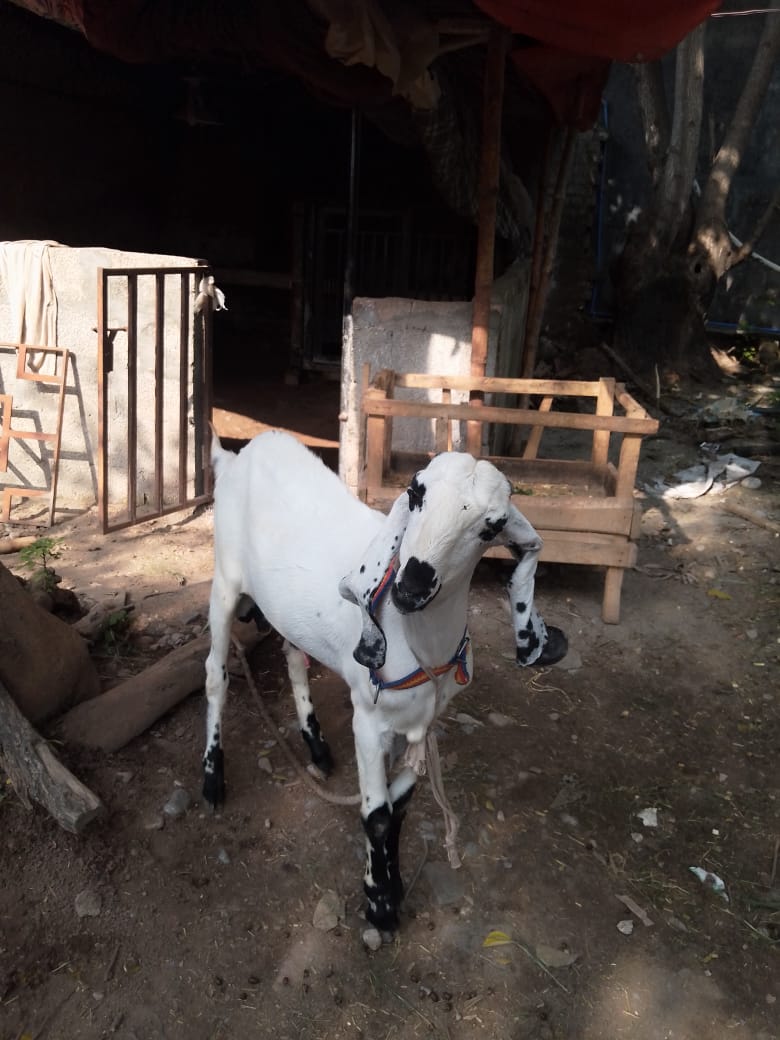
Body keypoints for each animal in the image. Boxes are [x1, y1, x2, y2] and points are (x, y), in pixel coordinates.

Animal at [203, 429, 567, 932]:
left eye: (492, 527)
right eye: (415, 492)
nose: (411, 586)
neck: (418, 643)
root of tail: (237, 456)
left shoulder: (423, 724)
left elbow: (401, 808)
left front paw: (390, 886)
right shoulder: (369, 723)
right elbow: (376, 815)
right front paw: (379, 905)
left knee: (294, 656)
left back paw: (316, 745)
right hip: (223, 584)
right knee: (215, 677)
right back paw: (212, 779)